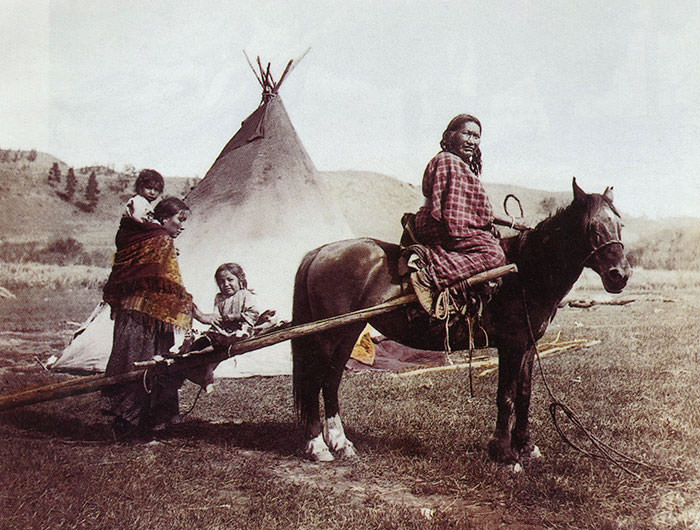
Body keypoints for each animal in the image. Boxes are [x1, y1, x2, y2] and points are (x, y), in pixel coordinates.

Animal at [292, 179, 632, 464]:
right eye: (592, 226)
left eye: (620, 224)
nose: (620, 275)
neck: (524, 272)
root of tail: (319, 252)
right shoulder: (511, 345)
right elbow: (506, 397)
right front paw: (505, 454)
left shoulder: (527, 346)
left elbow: (524, 395)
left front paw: (526, 447)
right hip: (328, 336)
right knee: (315, 382)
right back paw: (318, 446)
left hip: (346, 333)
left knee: (330, 382)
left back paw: (341, 443)